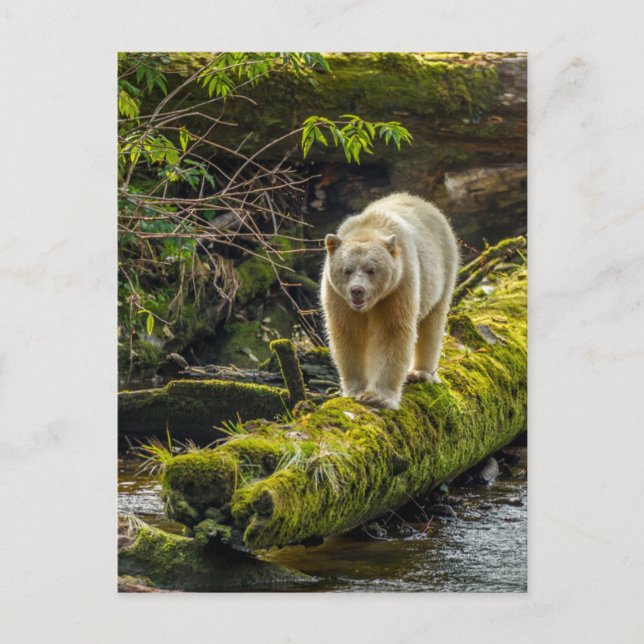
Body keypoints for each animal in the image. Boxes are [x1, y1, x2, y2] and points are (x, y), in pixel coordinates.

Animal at [321, 192, 459, 410]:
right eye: (347, 270)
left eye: (371, 269)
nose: (357, 291)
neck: (368, 229)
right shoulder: (337, 297)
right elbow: (347, 334)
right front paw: (355, 390)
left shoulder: (398, 287)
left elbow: (392, 332)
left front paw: (377, 397)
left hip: (442, 272)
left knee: (432, 324)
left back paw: (421, 373)